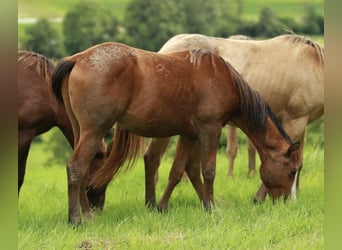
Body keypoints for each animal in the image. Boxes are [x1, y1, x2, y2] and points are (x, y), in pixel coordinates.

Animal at [50, 41, 302, 225]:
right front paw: (211, 207)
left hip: (81, 132)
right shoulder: (210, 130)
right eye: (291, 171)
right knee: (76, 167)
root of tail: (77, 59)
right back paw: (77, 218)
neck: (223, 79)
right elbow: (208, 170)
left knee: (84, 171)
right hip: (94, 131)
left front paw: (166, 206)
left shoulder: (189, 136)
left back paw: (85, 214)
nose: (288, 203)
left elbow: (179, 171)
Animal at [143, 33, 324, 203]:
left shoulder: (300, 125)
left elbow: (299, 161)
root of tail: (165, 50)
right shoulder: (295, 121)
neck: (313, 66)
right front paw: (261, 197)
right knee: (155, 156)